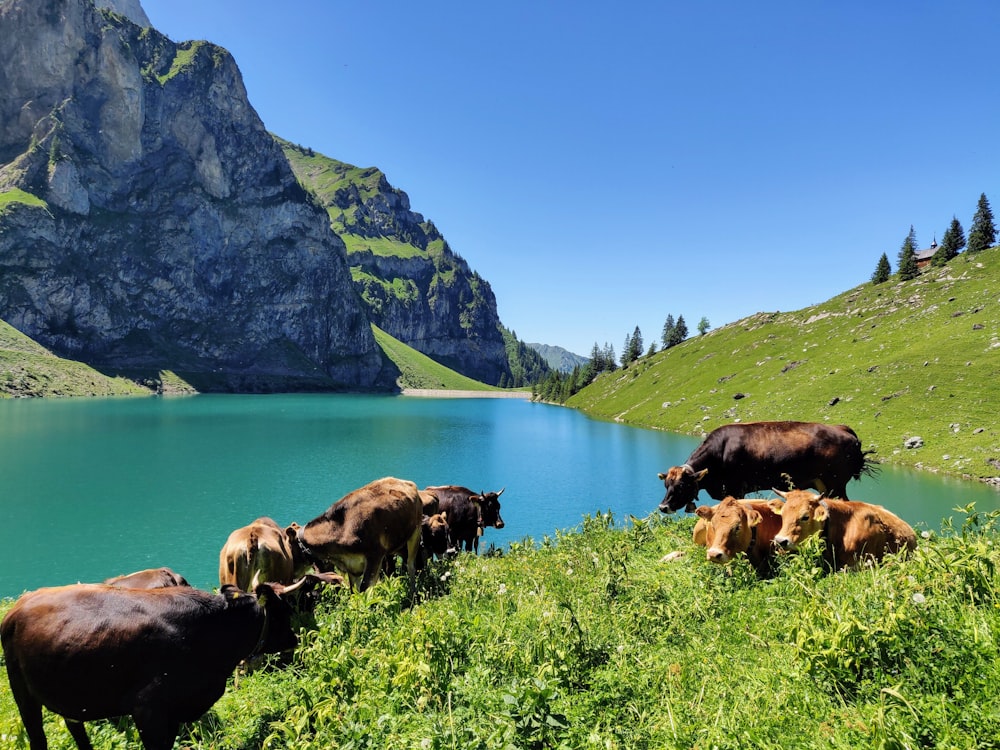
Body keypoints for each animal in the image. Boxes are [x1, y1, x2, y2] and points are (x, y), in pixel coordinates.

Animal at [1, 580, 296, 750]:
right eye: (285, 609)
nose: (294, 638)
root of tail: (18, 606)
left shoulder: (175, 710)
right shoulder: (147, 709)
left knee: (75, 727)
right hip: (21, 690)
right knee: (38, 737)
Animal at [294, 478, 424, 596]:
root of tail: (403, 481)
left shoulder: (374, 556)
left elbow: (364, 588)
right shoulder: (352, 567)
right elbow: (355, 592)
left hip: (416, 531)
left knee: (411, 564)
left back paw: (413, 593)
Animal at [656, 420, 876, 516]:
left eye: (682, 486)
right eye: (666, 485)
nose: (663, 507)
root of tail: (842, 428)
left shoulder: (736, 489)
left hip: (836, 483)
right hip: (825, 485)